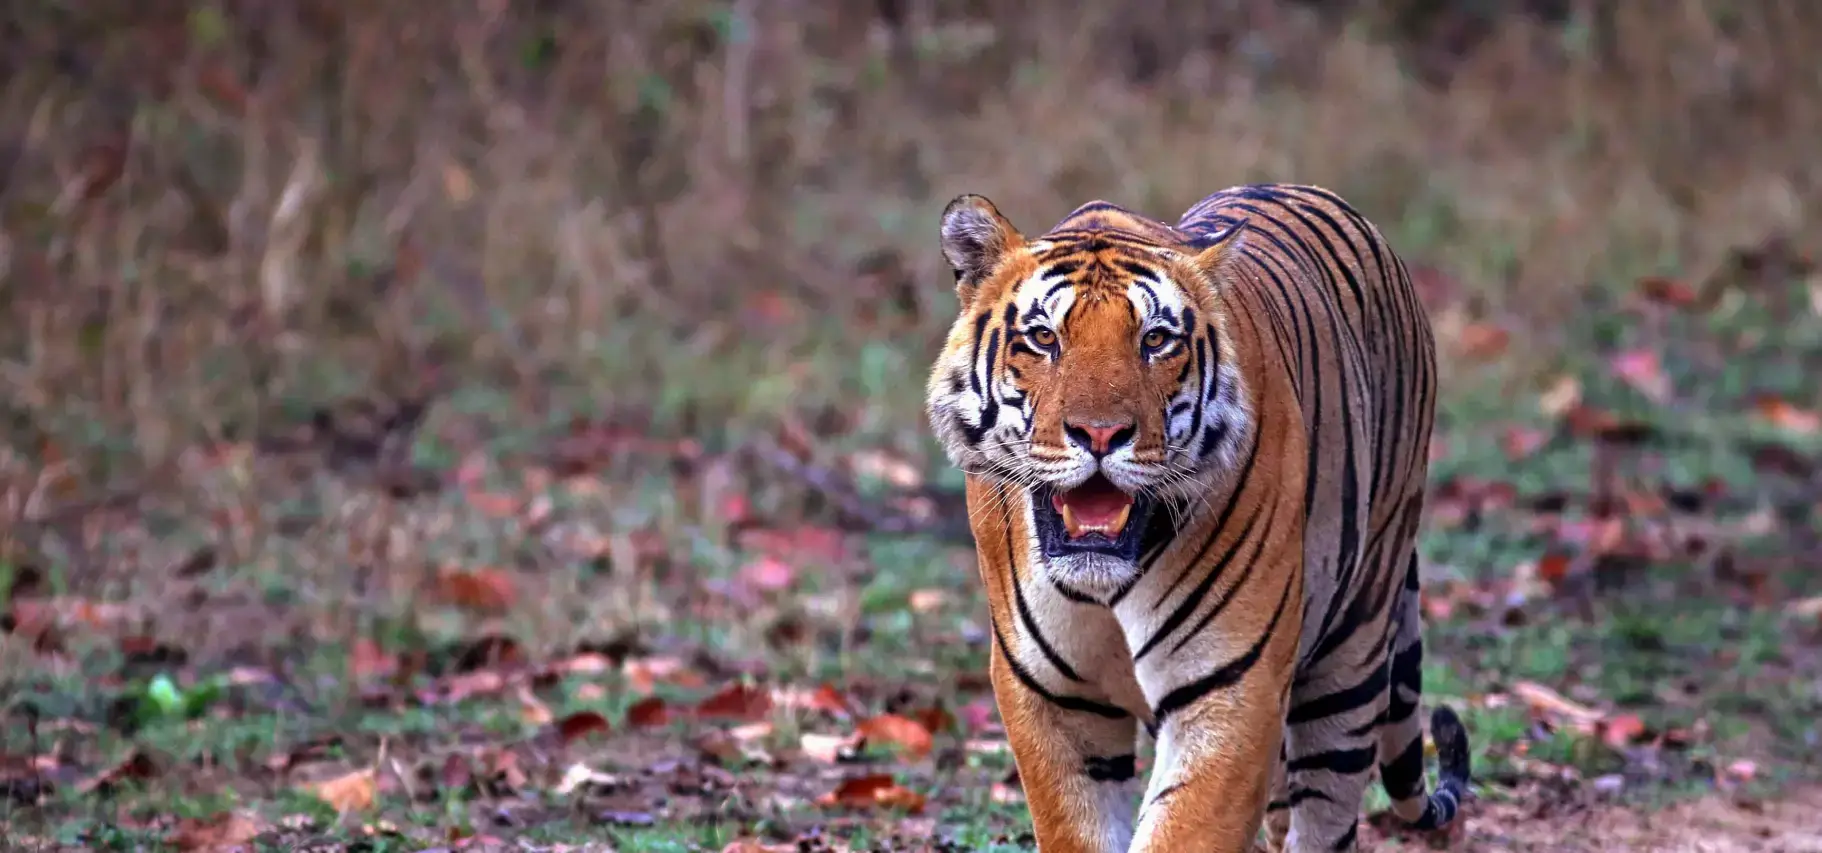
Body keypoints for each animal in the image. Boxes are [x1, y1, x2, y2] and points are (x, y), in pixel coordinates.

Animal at [925, 183, 1464, 849]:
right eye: (1044, 338)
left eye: (1156, 341)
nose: (1099, 434)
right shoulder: (1051, 700)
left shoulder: (1233, 689)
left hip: (1353, 652)